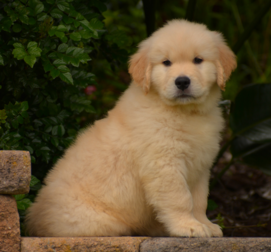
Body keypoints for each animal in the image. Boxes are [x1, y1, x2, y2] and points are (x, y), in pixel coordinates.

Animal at [26, 19, 238, 236]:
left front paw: (206, 224)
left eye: (198, 60)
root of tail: (33, 219)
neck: (183, 112)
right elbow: (180, 198)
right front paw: (188, 226)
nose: (182, 82)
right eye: (166, 62)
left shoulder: (201, 166)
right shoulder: (164, 164)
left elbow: (200, 200)